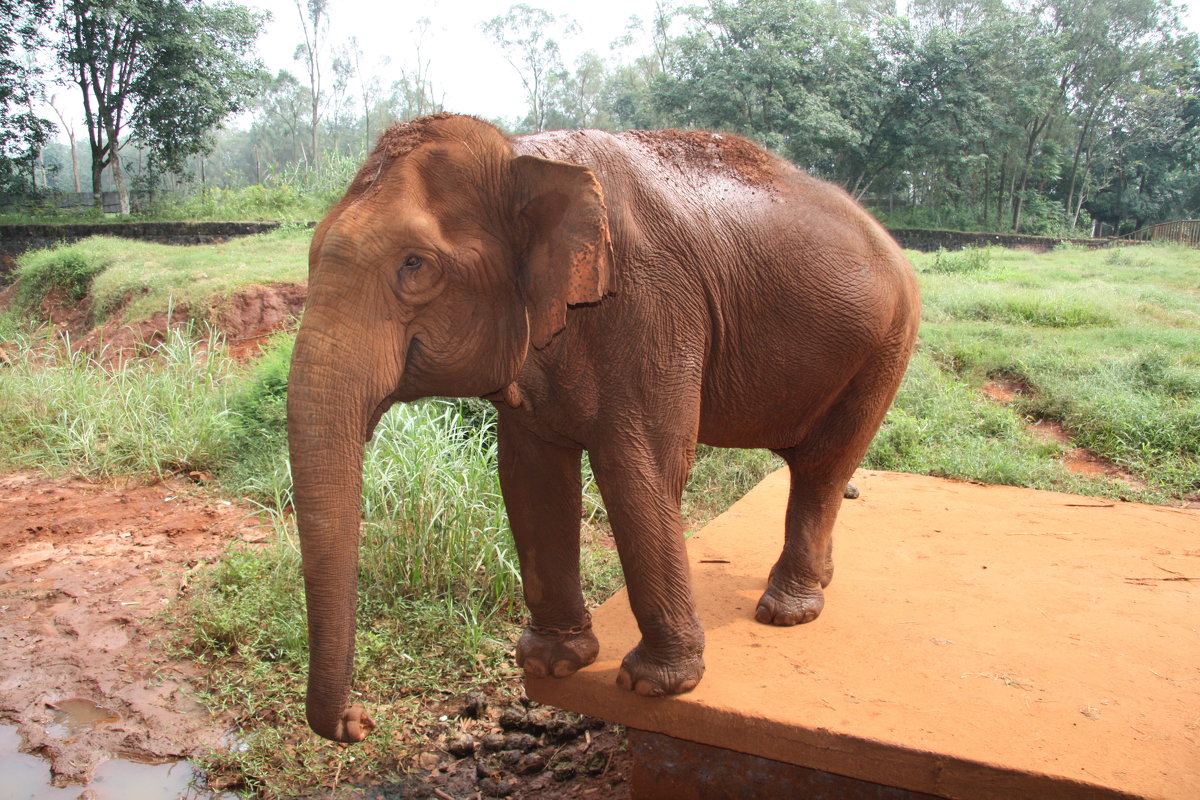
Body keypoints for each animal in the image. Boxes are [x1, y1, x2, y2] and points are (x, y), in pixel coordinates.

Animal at [288, 112, 916, 743]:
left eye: (414, 264)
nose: (358, 721)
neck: (521, 156)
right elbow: (530, 477)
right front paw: (551, 664)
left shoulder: (652, 305)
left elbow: (639, 466)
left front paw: (654, 685)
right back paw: (820, 580)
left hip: (889, 340)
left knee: (823, 466)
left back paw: (786, 612)